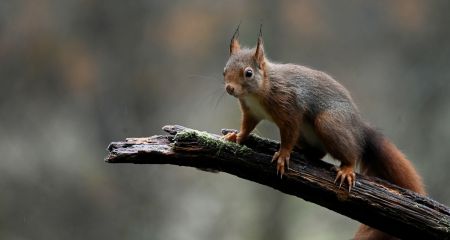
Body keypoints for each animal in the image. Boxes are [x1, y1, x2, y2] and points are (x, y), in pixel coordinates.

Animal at [222, 26, 426, 240]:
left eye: (248, 73)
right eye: (224, 71)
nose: (229, 88)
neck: (259, 91)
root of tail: (359, 129)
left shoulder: (290, 108)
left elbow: (288, 133)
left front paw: (283, 154)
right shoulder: (251, 112)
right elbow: (247, 127)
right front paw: (236, 136)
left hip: (329, 123)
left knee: (351, 152)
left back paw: (346, 168)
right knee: (318, 152)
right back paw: (302, 151)